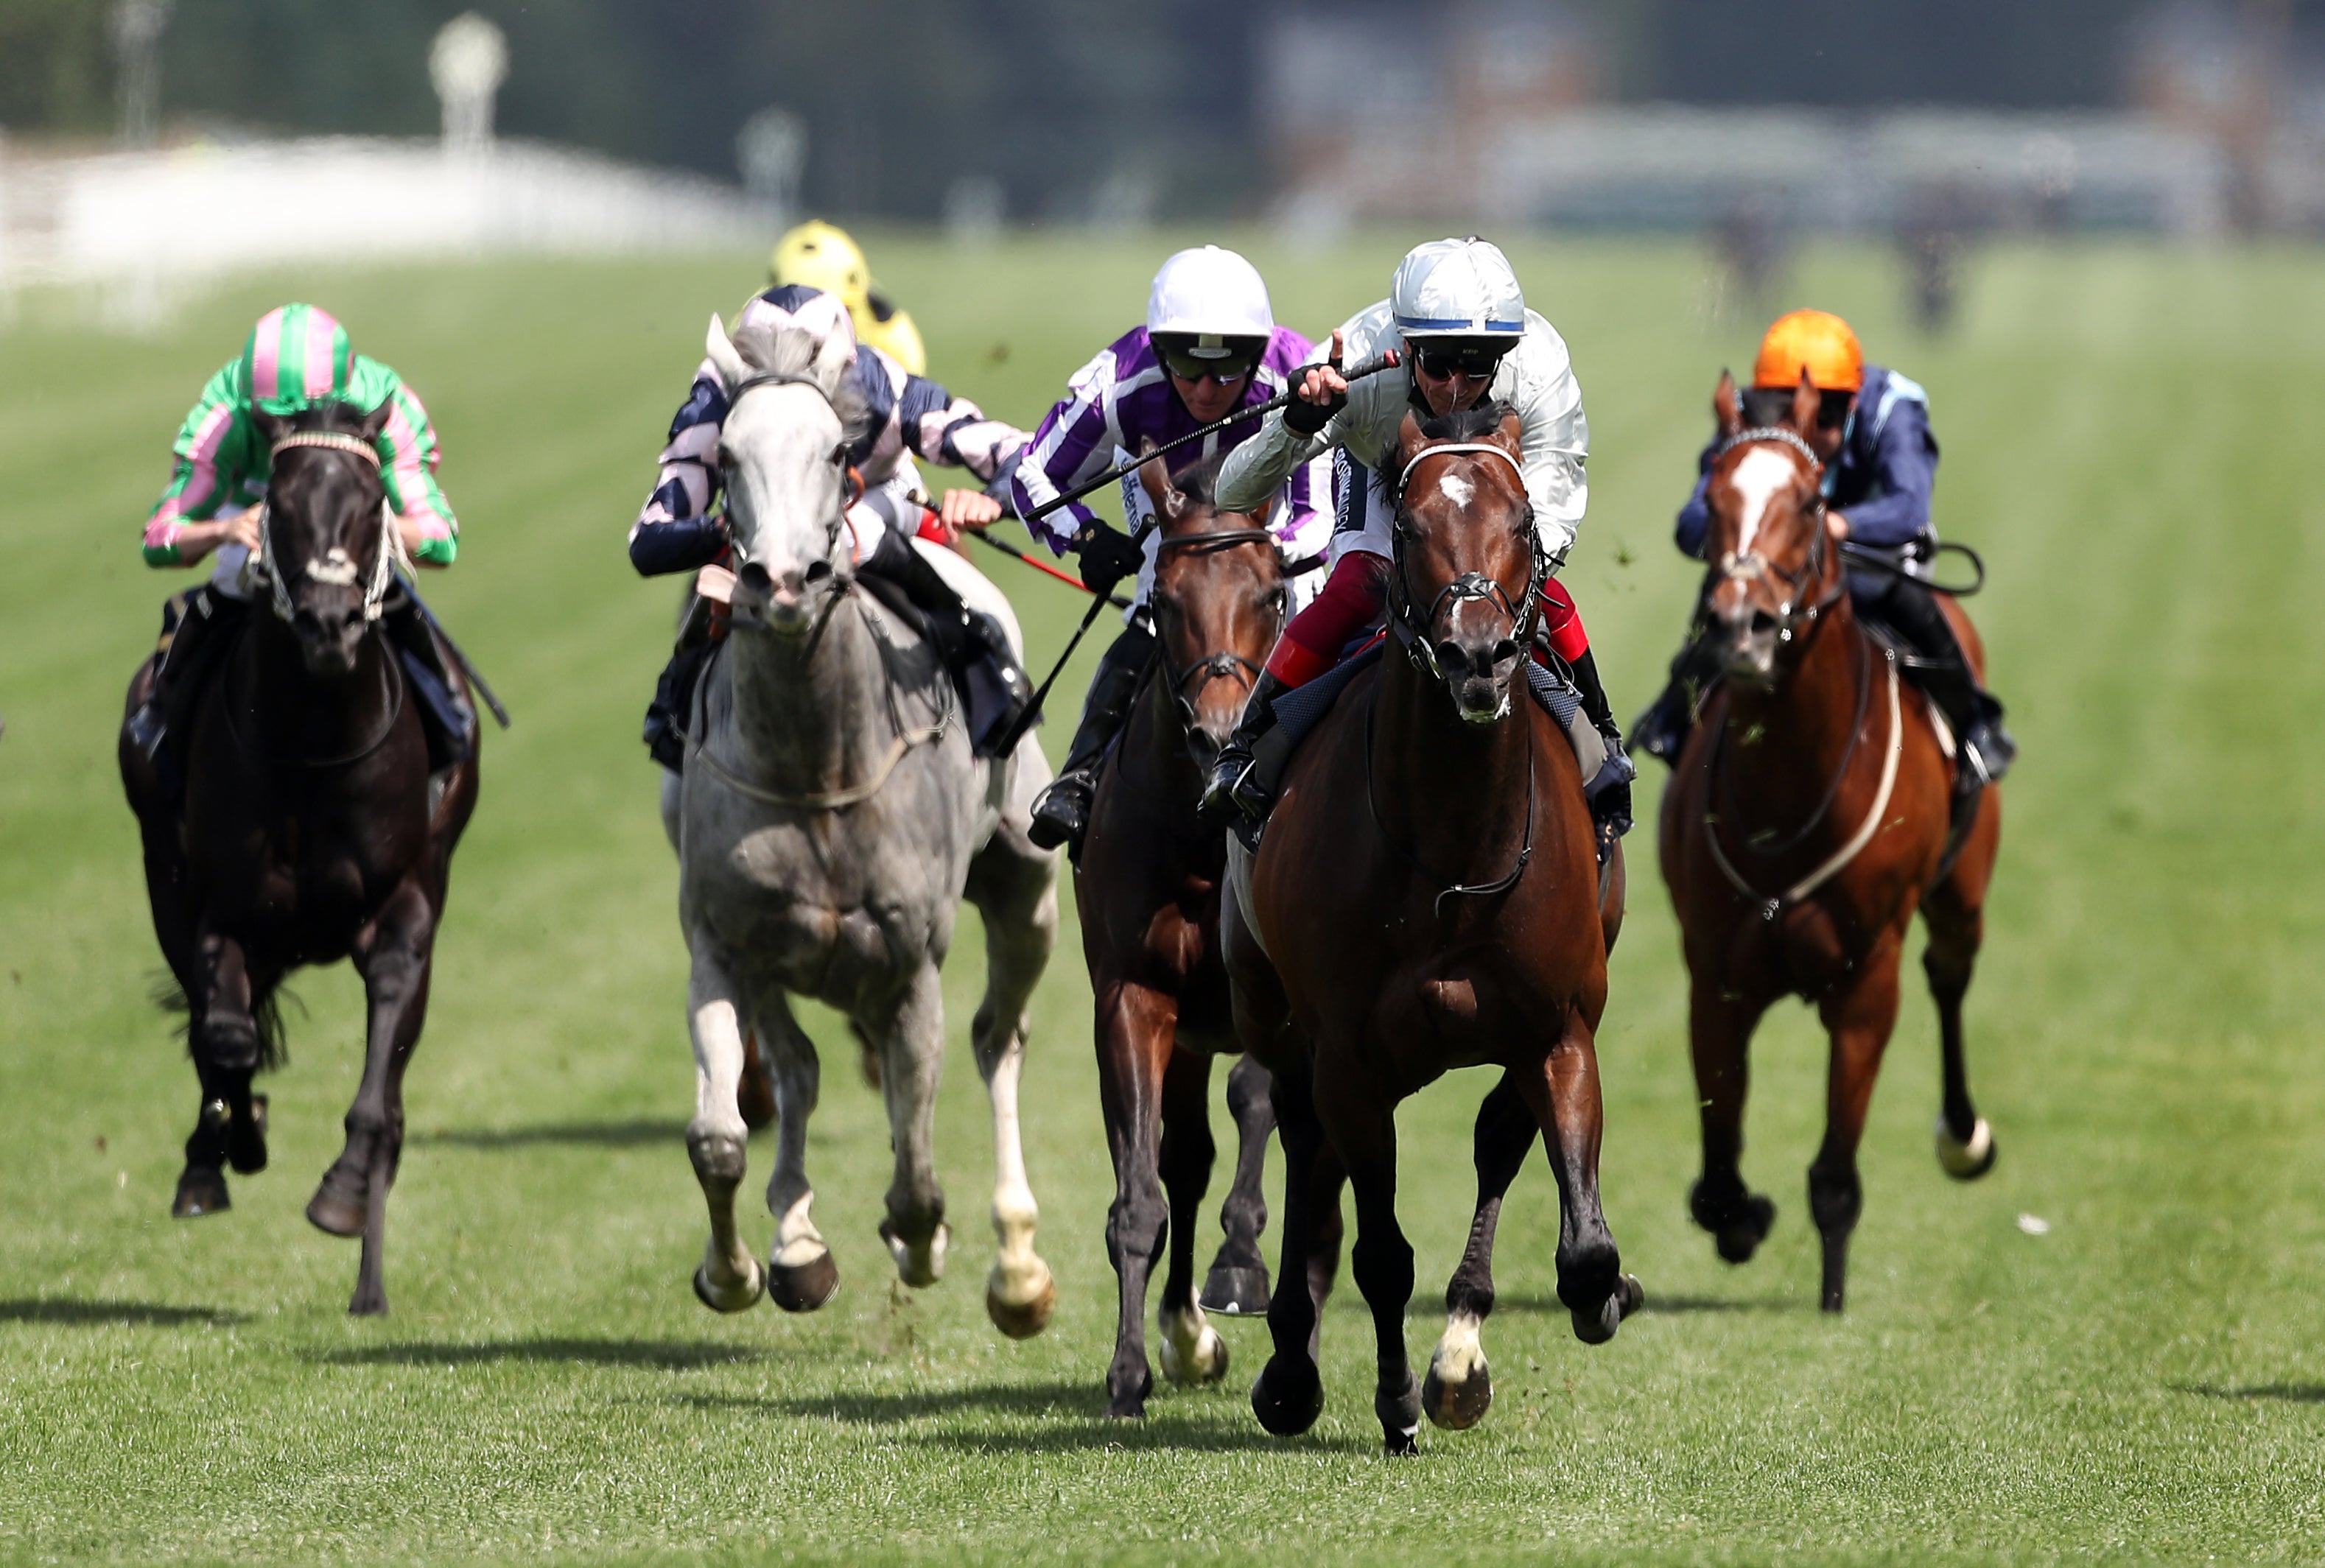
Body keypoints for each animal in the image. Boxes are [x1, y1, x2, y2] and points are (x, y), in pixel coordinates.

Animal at [121, 399, 481, 1319]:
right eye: (277, 505)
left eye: (372, 499)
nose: (329, 622)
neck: (314, 741)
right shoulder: (218, 905)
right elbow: (227, 1035)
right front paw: (231, 1142)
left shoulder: (406, 904)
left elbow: (381, 1069)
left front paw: (345, 1192)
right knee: (218, 1028)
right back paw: (213, 1154)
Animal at [664, 309, 1065, 1337]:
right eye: (724, 455)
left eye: (839, 451)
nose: (782, 581)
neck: (819, 765)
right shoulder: (726, 941)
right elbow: (719, 1136)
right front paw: (741, 1268)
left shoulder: (910, 957)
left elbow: (919, 1177)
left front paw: (927, 1244)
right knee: (800, 1066)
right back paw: (799, 1242)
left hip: (1027, 889)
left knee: (998, 1041)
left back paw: (1018, 1265)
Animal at [1227, 409, 1646, 1458]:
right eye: (1412, 527)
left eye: (1523, 520)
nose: (1478, 656)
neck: (1456, 848)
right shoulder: (1346, 1056)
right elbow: (1380, 1250)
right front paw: (1396, 1400)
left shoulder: (1557, 1027)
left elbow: (1581, 1244)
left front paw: (1589, 1299)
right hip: (1274, 1019)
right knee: (1303, 1142)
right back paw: (1292, 1367)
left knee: (1491, 1139)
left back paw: (1459, 1348)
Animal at [1664, 371, 2008, 1309]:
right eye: (1714, 493)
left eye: (1813, 500)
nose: (1741, 625)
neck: (1791, 785)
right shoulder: (1716, 974)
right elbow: (1715, 1177)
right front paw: (1744, 1216)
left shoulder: (1865, 979)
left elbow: (1835, 1172)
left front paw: (1830, 1292)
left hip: (1962, 891)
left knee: (1951, 972)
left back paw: (1963, 1134)